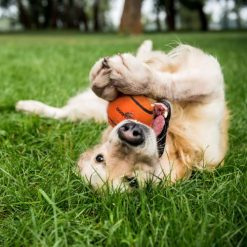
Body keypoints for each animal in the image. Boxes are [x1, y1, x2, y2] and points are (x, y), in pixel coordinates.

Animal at [15, 41, 230, 190]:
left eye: (133, 180)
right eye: (100, 158)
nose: (130, 133)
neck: (174, 139)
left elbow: (177, 83)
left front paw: (129, 79)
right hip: (87, 112)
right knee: (64, 113)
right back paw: (27, 106)